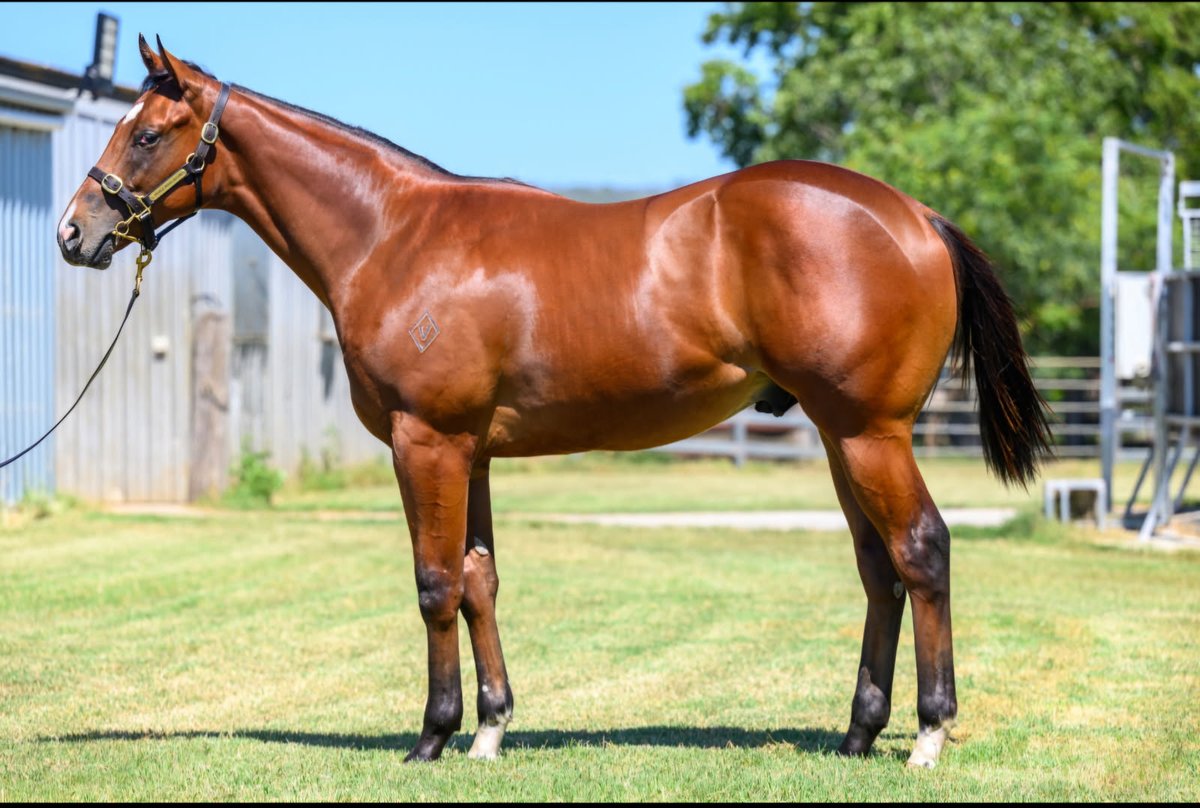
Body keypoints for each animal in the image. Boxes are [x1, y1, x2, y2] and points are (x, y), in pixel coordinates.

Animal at [57, 37, 1052, 768]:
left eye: (146, 134)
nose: (75, 232)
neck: (393, 235)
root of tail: (918, 216)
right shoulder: (470, 451)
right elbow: (479, 580)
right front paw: (491, 729)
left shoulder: (426, 442)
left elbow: (433, 583)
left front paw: (433, 736)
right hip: (846, 439)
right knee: (880, 569)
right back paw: (857, 735)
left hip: (870, 432)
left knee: (922, 550)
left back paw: (928, 735)